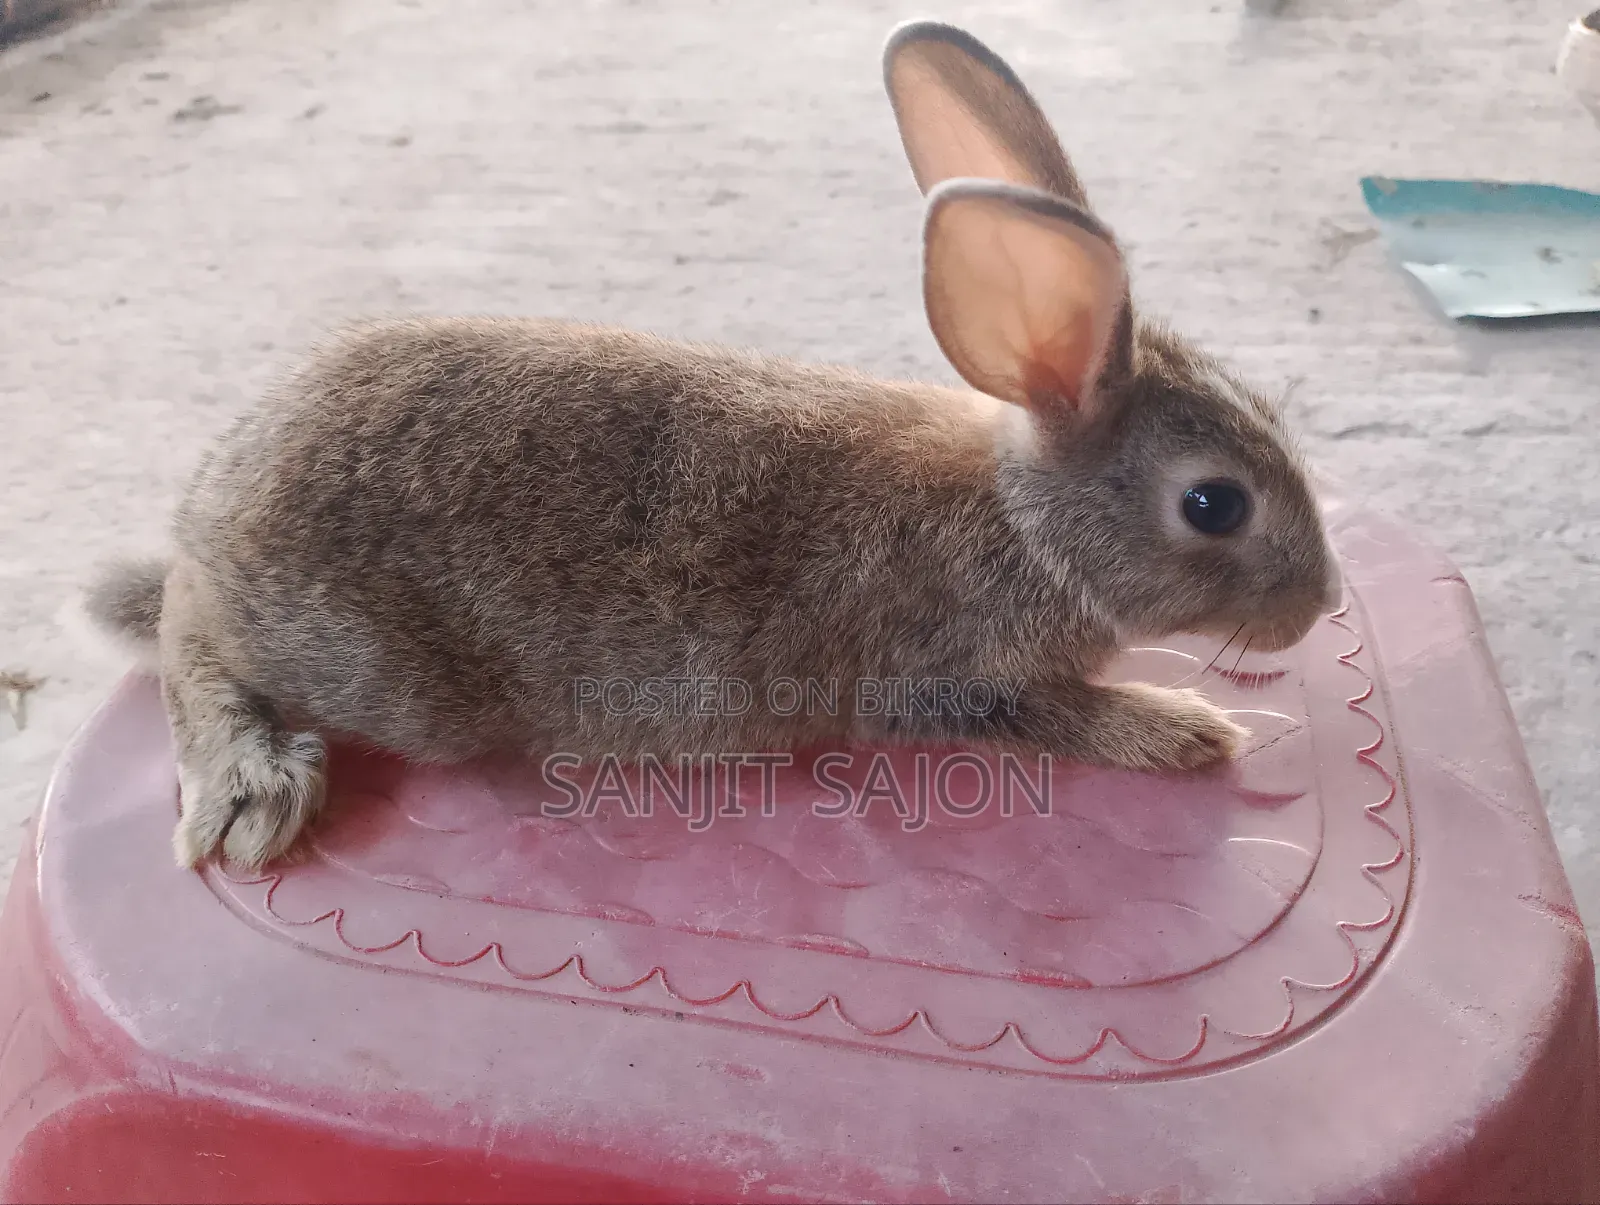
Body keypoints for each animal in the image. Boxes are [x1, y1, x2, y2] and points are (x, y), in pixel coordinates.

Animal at [84, 19, 1341, 874]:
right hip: (380, 674)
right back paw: (250, 784)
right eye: (1215, 505)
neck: (1027, 525)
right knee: (189, 632)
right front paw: (1187, 727)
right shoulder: (945, 679)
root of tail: (214, 512)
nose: (1320, 603)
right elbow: (1054, 715)